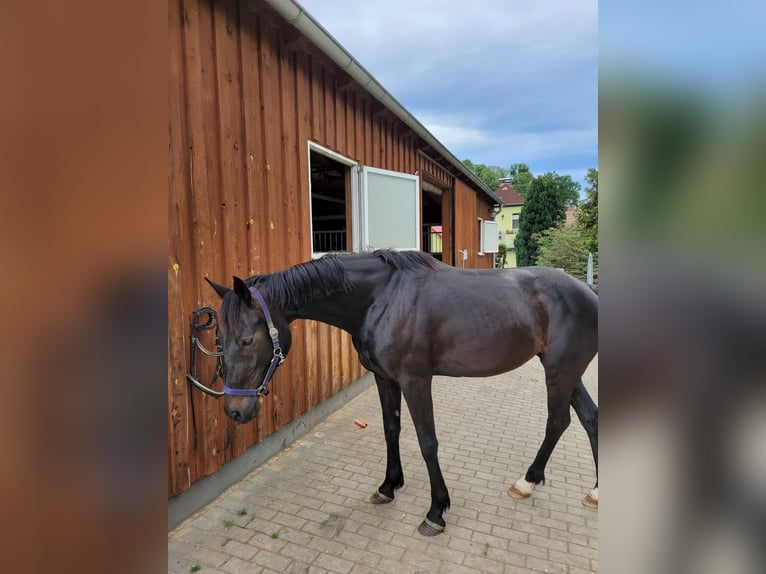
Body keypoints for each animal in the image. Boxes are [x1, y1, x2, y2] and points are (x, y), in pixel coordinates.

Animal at [206, 252, 600, 540]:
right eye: (218, 339)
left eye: (246, 339)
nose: (235, 410)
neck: (381, 299)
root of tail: (588, 291)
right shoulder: (385, 379)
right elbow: (390, 430)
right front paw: (388, 486)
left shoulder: (415, 381)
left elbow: (427, 443)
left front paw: (436, 511)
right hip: (566, 372)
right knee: (588, 419)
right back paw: (587, 491)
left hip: (560, 371)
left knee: (558, 421)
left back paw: (529, 481)